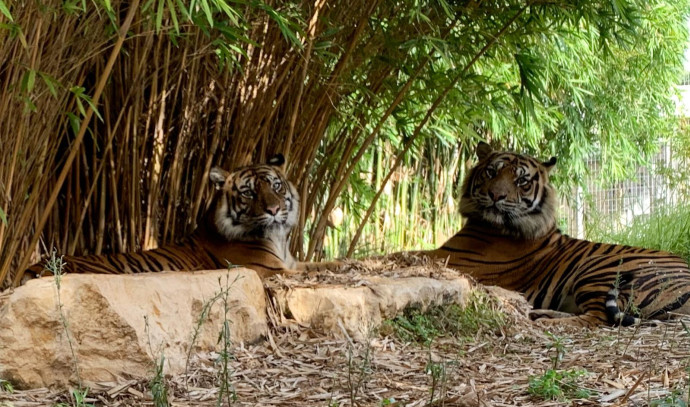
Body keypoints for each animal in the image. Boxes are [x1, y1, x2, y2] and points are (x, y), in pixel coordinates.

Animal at [420, 143, 688, 328]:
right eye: (491, 173)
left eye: (522, 181)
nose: (496, 196)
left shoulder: (455, 257)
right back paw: (538, 313)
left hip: (599, 268)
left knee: (597, 319)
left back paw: (548, 322)